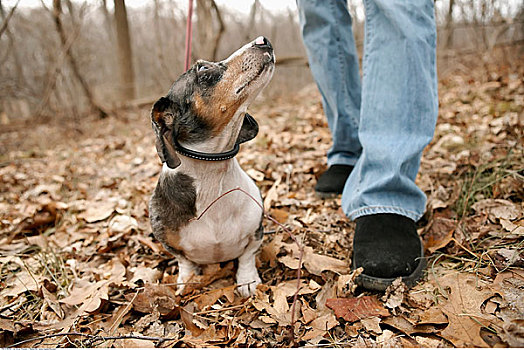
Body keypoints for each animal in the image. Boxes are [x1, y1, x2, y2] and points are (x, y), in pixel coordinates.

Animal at [147, 37, 274, 296]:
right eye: (204, 69)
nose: (263, 40)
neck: (214, 177)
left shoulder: (256, 231)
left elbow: (247, 255)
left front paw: (247, 280)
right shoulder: (168, 241)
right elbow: (184, 261)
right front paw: (186, 279)